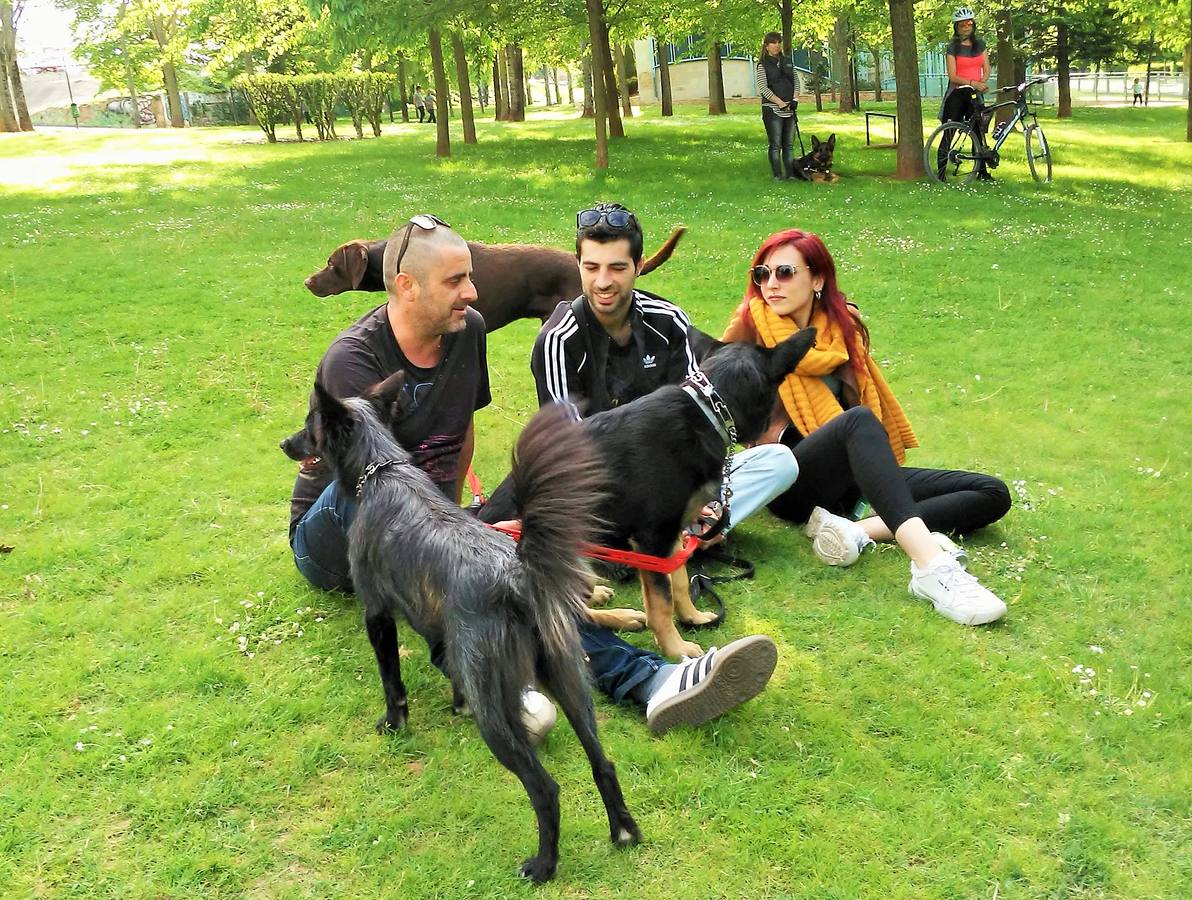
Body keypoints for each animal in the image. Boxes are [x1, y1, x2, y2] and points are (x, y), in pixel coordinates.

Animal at [312, 374, 638, 886]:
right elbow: (441, 662)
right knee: (602, 761)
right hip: (570, 683)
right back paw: (623, 832)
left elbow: (392, 681)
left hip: (497, 709)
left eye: (310, 421)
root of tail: (520, 578)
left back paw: (544, 865)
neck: (382, 471)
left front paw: (394, 723)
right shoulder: (439, 630)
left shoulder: (377, 613)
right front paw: (454, 703)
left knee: (545, 788)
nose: (286, 443)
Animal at [479, 331, 815, 662]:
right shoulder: (653, 539)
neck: (708, 411)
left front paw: (692, 617)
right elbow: (661, 601)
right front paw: (675, 648)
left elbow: (679, 581)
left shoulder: (673, 533)